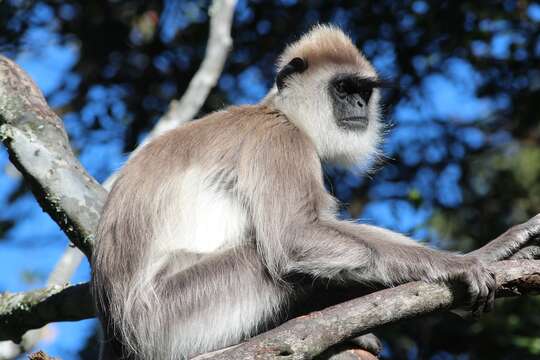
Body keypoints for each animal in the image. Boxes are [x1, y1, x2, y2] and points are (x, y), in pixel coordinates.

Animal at [90, 23, 540, 358]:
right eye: (343, 89)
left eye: (364, 91)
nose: (358, 107)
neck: (278, 112)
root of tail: (120, 333)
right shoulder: (281, 141)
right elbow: (295, 236)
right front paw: (463, 262)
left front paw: (492, 250)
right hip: (171, 316)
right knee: (266, 260)